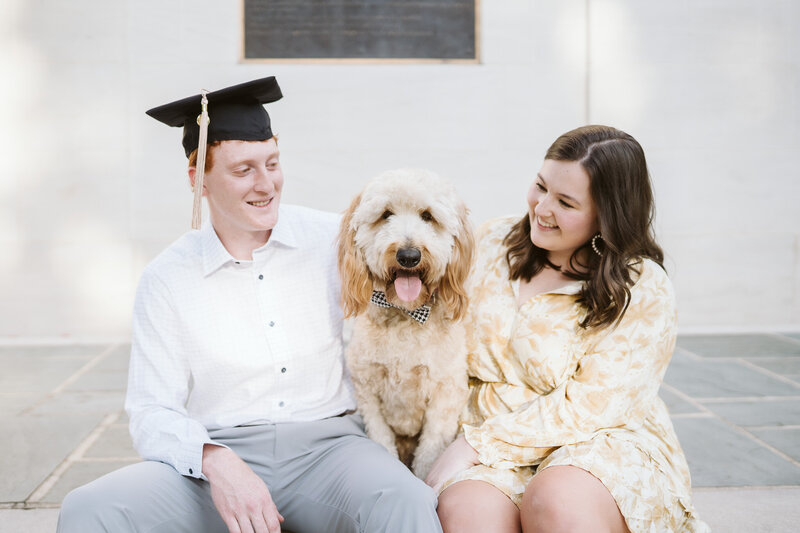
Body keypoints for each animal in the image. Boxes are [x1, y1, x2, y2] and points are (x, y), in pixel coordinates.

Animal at [338, 167, 476, 478]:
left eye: (428, 216)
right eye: (385, 214)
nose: (409, 255)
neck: (405, 313)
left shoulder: (444, 397)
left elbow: (429, 455)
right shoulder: (367, 393)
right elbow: (381, 441)